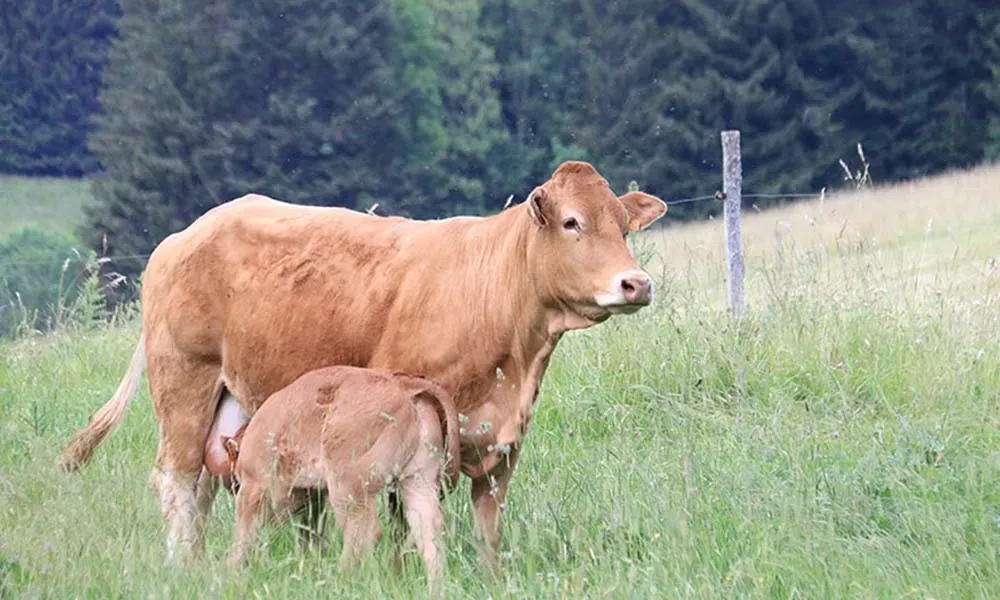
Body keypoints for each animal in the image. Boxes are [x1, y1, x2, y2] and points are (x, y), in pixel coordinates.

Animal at [225, 366, 459, 586]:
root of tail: (403, 385)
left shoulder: (253, 486)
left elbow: (244, 534)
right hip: (417, 482)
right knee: (429, 534)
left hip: (348, 488)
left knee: (365, 532)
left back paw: (338, 578)